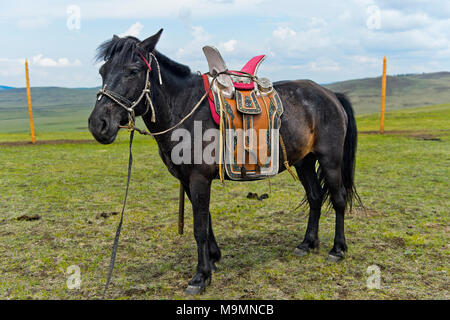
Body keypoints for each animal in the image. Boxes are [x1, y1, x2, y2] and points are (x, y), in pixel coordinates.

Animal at [89, 30, 358, 296]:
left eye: (133, 71)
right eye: (102, 71)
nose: (98, 124)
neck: (183, 109)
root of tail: (330, 94)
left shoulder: (198, 179)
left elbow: (199, 228)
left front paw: (200, 276)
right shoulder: (189, 180)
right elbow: (206, 222)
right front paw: (213, 259)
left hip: (329, 159)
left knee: (338, 198)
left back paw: (337, 249)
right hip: (304, 161)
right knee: (315, 196)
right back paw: (307, 244)